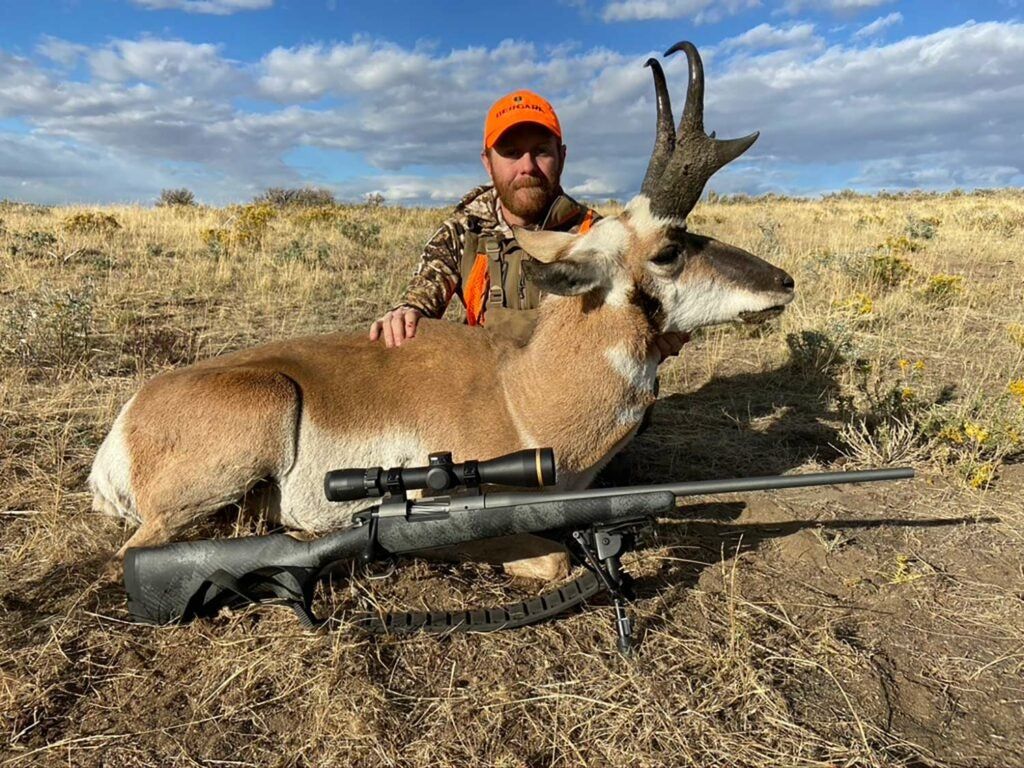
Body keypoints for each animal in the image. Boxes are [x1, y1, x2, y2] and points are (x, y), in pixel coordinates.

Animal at [90, 41, 795, 567]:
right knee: (137, 549)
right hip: (252, 425)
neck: (523, 386)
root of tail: (129, 420)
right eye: (671, 248)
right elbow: (554, 557)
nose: (784, 283)